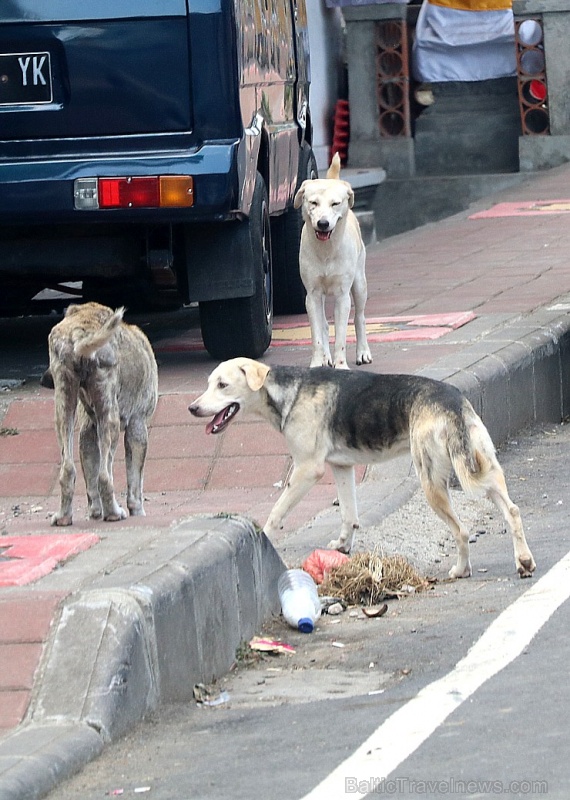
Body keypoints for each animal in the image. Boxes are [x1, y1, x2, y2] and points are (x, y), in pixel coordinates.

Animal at [42, 302, 158, 524]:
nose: (44, 381)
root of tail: (79, 333)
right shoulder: (138, 425)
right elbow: (135, 481)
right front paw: (137, 511)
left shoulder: (88, 428)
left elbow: (91, 477)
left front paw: (95, 512)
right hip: (109, 417)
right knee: (105, 476)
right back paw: (113, 512)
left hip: (64, 408)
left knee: (68, 470)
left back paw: (63, 517)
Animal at [190, 360, 532, 580]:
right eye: (208, 384)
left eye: (222, 385)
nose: (192, 408)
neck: (291, 392)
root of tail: (451, 402)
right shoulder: (342, 468)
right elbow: (349, 515)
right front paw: (343, 547)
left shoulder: (307, 470)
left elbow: (276, 513)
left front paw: (266, 539)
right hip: (486, 470)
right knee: (512, 511)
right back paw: (524, 560)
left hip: (432, 482)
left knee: (461, 530)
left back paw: (462, 570)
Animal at [292, 151, 368, 368]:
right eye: (313, 203)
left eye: (335, 203)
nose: (323, 223)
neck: (326, 251)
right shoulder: (312, 295)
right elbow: (317, 333)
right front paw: (318, 362)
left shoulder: (343, 296)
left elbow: (341, 335)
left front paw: (341, 365)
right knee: (325, 325)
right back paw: (326, 357)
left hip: (360, 283)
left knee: (359, 317)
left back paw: (362, 352)